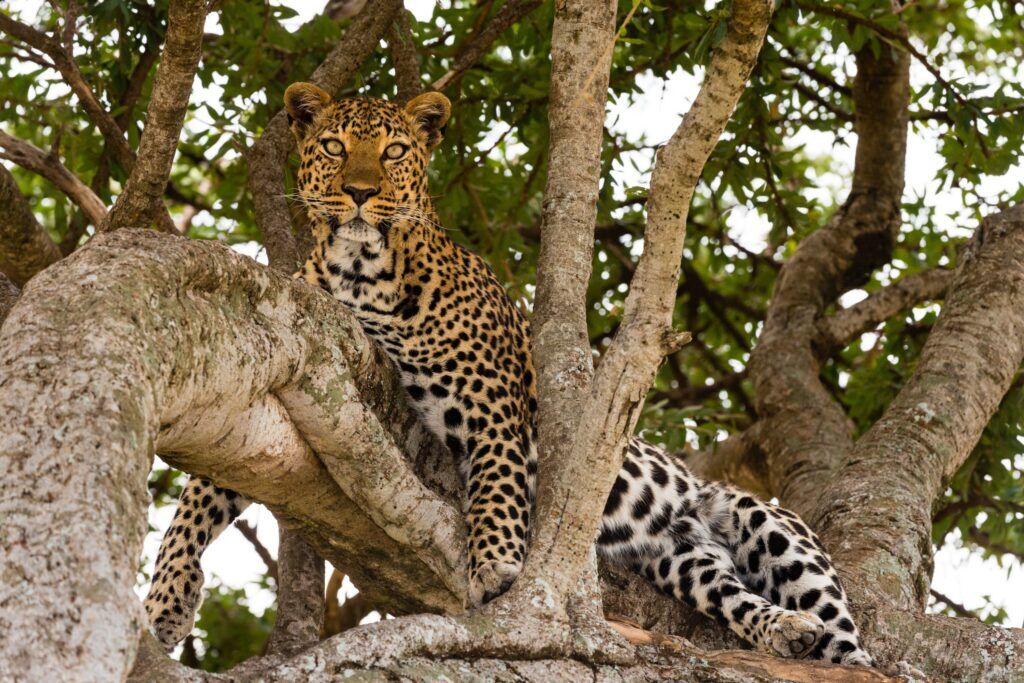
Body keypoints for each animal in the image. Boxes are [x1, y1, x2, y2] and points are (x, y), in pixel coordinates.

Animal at [144, 85, 872, 667]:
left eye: (394, 151)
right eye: (333, 145)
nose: (359, 193)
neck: (361, 274)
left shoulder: (489, 390)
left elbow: (495, 475)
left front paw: (494, 561)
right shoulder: (285, 364)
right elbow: (197, 497)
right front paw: (164, 601)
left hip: (764, 519)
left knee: (849, 638)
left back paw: (820, 638)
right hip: (684, 561)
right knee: (732, 592)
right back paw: (784, 631)